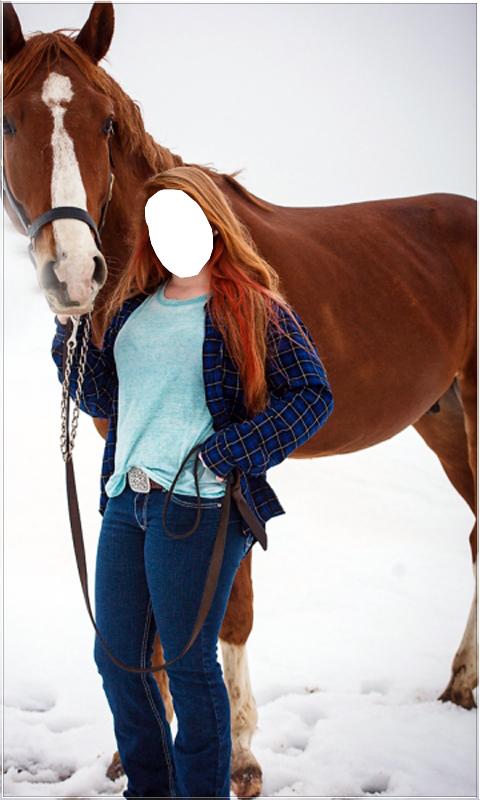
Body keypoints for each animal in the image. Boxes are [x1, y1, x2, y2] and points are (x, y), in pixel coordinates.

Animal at [3, 3, 476, 798]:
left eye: (105, 123)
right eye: (9, 123)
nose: (72, 272)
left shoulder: (232, 463)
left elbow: (229, 610)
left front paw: (240, 757)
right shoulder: (120, 450)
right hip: (443, 420)